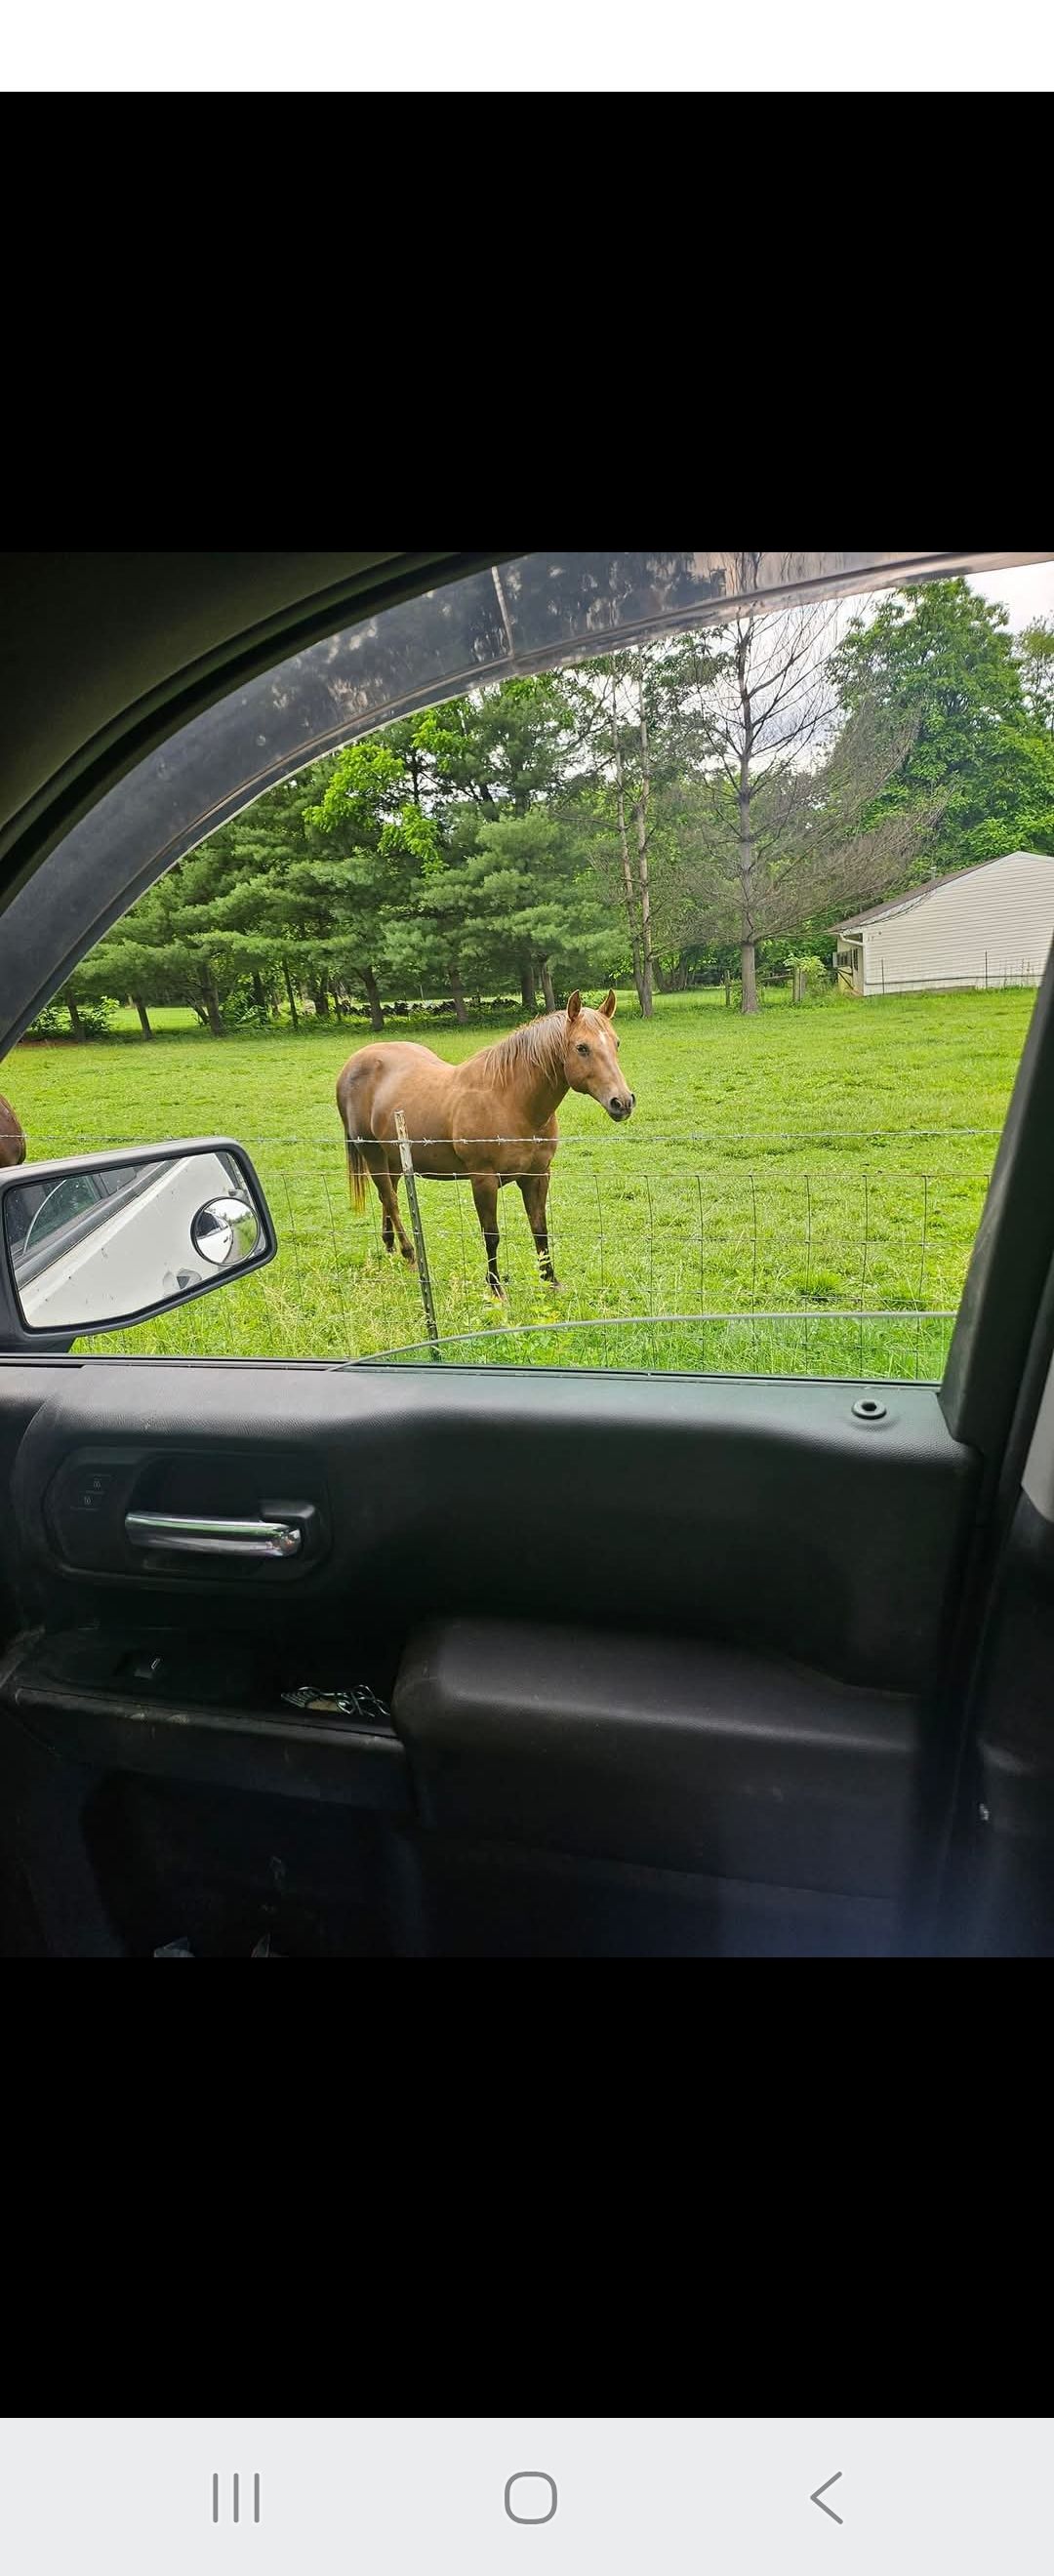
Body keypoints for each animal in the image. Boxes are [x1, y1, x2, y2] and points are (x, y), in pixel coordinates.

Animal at [336, 990, 635, 1298]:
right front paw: (495, 1288)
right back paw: (409, 1255)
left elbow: (539, 1227)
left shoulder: (537, 1175)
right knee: (391, 1199)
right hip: (371, 1152)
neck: (510, 1102)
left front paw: (550, 1280)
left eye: (616, 1043)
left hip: (394, 1157)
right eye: (582, 1048)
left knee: (389, 1195)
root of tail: (353, 1064)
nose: (622, 1102)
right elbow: (491, 1235)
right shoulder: (483, 1179)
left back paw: (390, 1245)